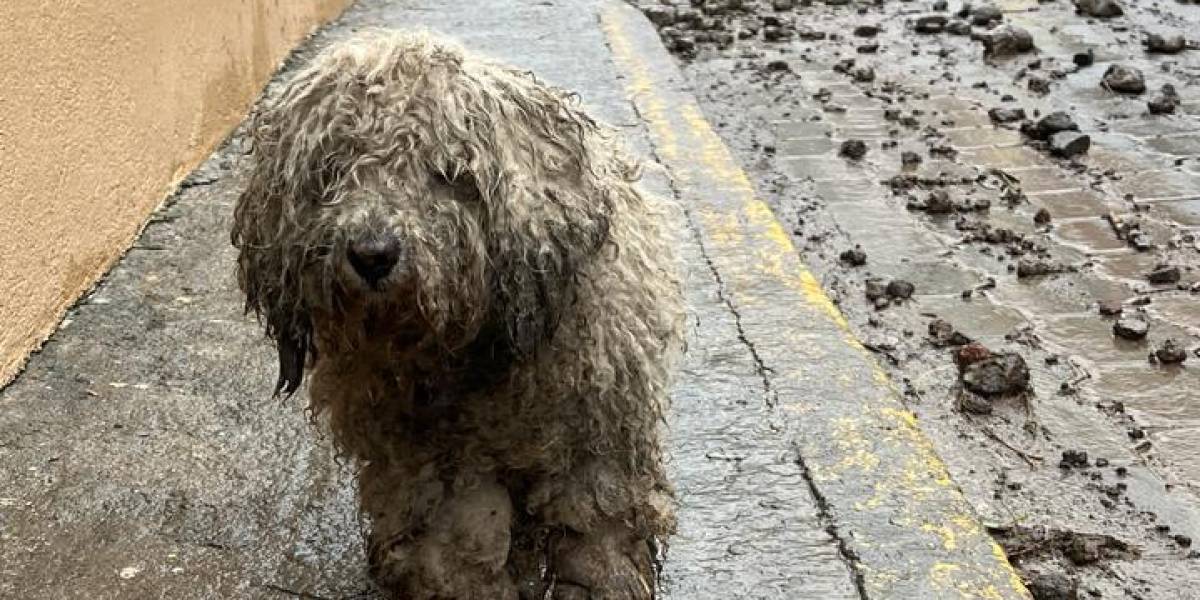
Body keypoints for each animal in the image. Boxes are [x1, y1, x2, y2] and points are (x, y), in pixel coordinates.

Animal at [231, 32, 686, 600]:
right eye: (331, 169)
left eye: (447, 173)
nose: (373, 254)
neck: (468, 352)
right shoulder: (440, 466)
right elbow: (462, 548)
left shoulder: (594, 433)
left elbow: (596, 539)